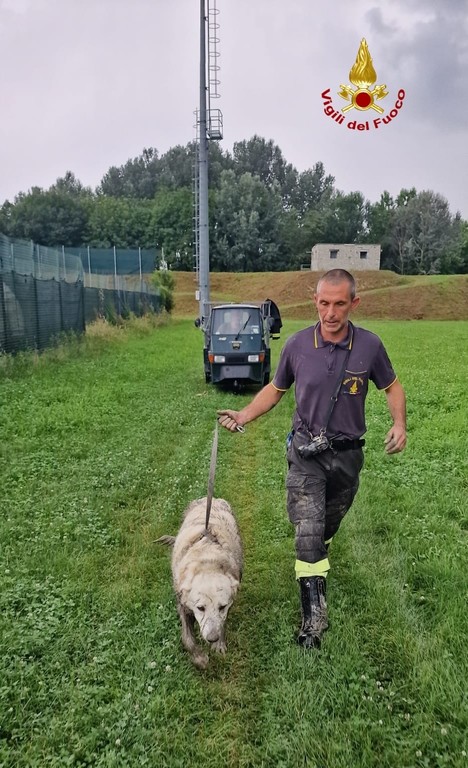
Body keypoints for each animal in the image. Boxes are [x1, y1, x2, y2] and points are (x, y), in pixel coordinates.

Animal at [158, 498, 243, 664]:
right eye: (200, 608)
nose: (212, 638)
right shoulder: (182, 604)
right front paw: (199, 658)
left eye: (222, 607)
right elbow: (187, 638)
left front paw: (219, 644)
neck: (207, 561)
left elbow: (222, 622)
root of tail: (212, 499)